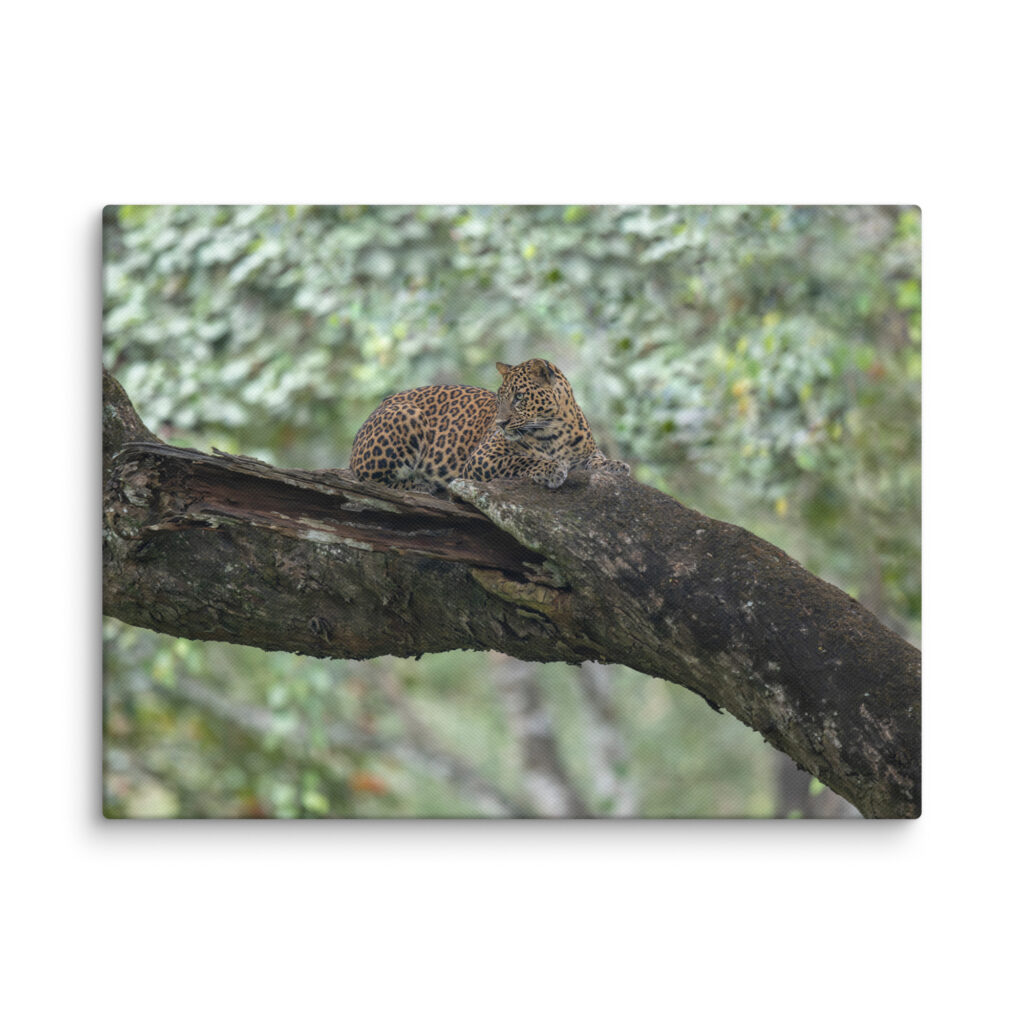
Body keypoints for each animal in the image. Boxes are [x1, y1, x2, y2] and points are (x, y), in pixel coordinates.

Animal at [348, 358, 630, 493]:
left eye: (519, 397)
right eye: (499, 398)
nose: (501, 423)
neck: (554, 428)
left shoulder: (585, 452)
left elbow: (596, 459)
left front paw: (616, 466)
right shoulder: (482, 458)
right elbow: (521, 460)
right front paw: (551, 469)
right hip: (407, 414)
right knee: (368, 479)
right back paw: (421, 485)